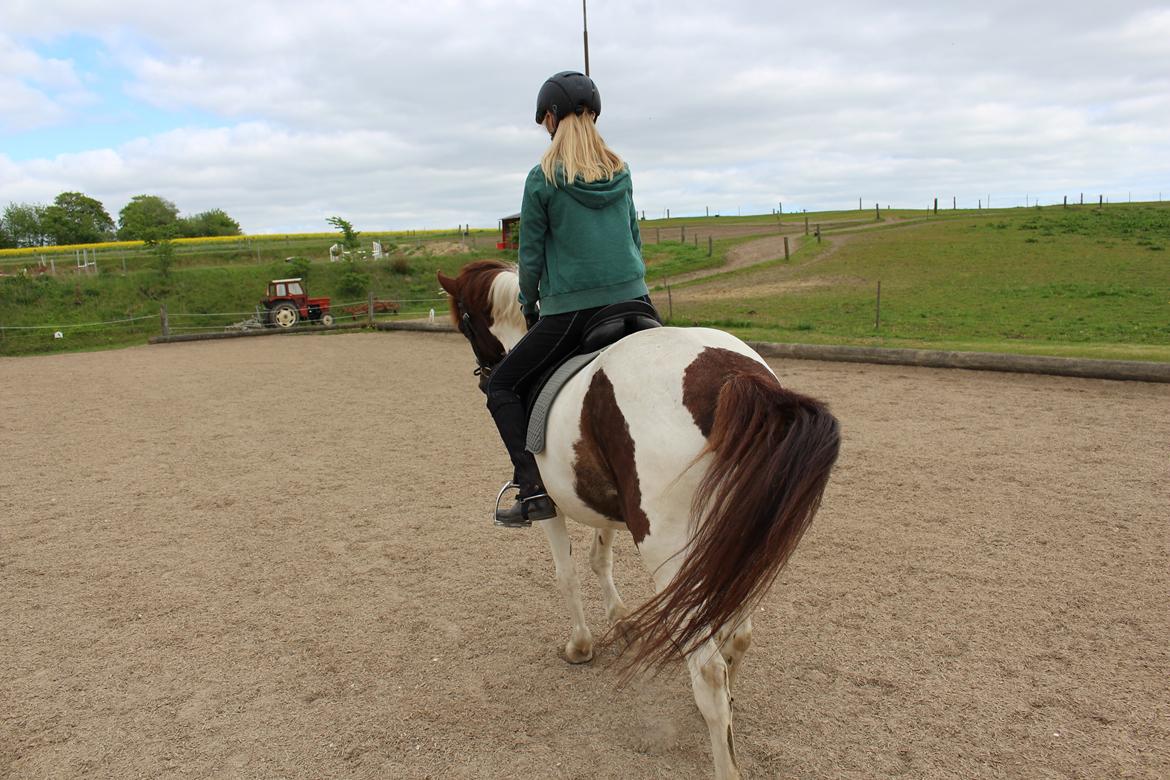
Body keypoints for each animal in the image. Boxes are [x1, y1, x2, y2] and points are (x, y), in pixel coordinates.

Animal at [435, 261, 837, 780]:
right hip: (736, 541)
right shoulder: (606, 503)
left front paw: (581, 645)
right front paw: (621, 619)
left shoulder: (550, 503)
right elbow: (600, 557)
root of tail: (730, 377)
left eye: (465, 322)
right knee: (737, 635)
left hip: (670, 548)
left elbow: (566, 573)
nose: (486, 377)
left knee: (708, 670)